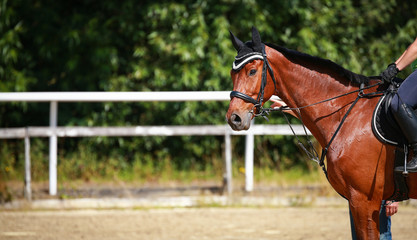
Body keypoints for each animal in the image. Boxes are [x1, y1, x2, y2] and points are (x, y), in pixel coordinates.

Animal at [228, 27, 416, 239]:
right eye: (232, 74)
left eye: (252, 71)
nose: (234, 118)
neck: (347, 113)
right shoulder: (357, 201)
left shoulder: (365, 200)